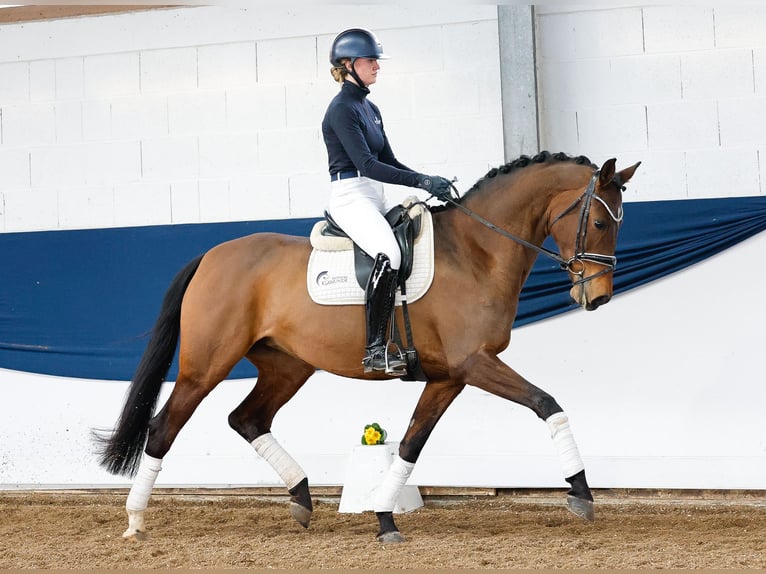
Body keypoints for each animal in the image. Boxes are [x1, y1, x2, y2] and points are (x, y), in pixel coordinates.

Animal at [99, 150, 644, 544]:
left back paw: (301, 500)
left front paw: (384, 517)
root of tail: (211, 256)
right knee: (163, 428)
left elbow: (409, 445)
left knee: (248, 418)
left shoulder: (449, 377)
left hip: (287, 366)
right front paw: (582, 493)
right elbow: (547, 403)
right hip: (205, 366)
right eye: (600, 223)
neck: (476, 252)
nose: (597, 296)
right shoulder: (475, 363)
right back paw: (135, 521)